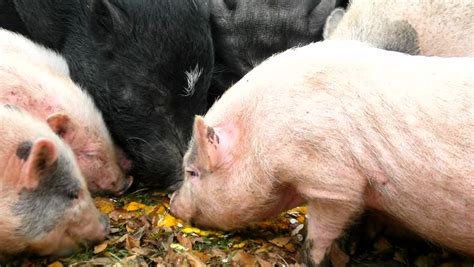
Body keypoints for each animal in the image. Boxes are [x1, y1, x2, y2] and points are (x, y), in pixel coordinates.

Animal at [170, 40, 474, 266]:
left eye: (193, 172)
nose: (172, 203)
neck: (262, 136)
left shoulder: (334, 181)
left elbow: (321, 231)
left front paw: (309, 259)